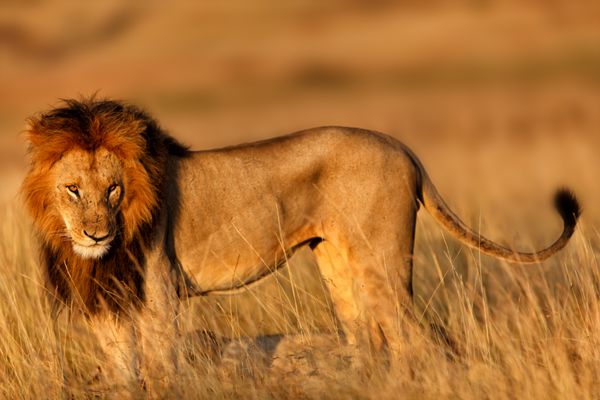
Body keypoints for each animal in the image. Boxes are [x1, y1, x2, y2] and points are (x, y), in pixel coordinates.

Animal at [23, 97, 580, 394]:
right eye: (73, 190)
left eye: (114, 189)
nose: (96, 234)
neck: (98, 255)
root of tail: (405, 149)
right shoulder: (106, 306)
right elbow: (124, 373)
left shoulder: (158, 297)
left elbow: (160, 372)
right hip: (338, 266)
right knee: (369, 340)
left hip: (383, 265)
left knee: (417, 341)